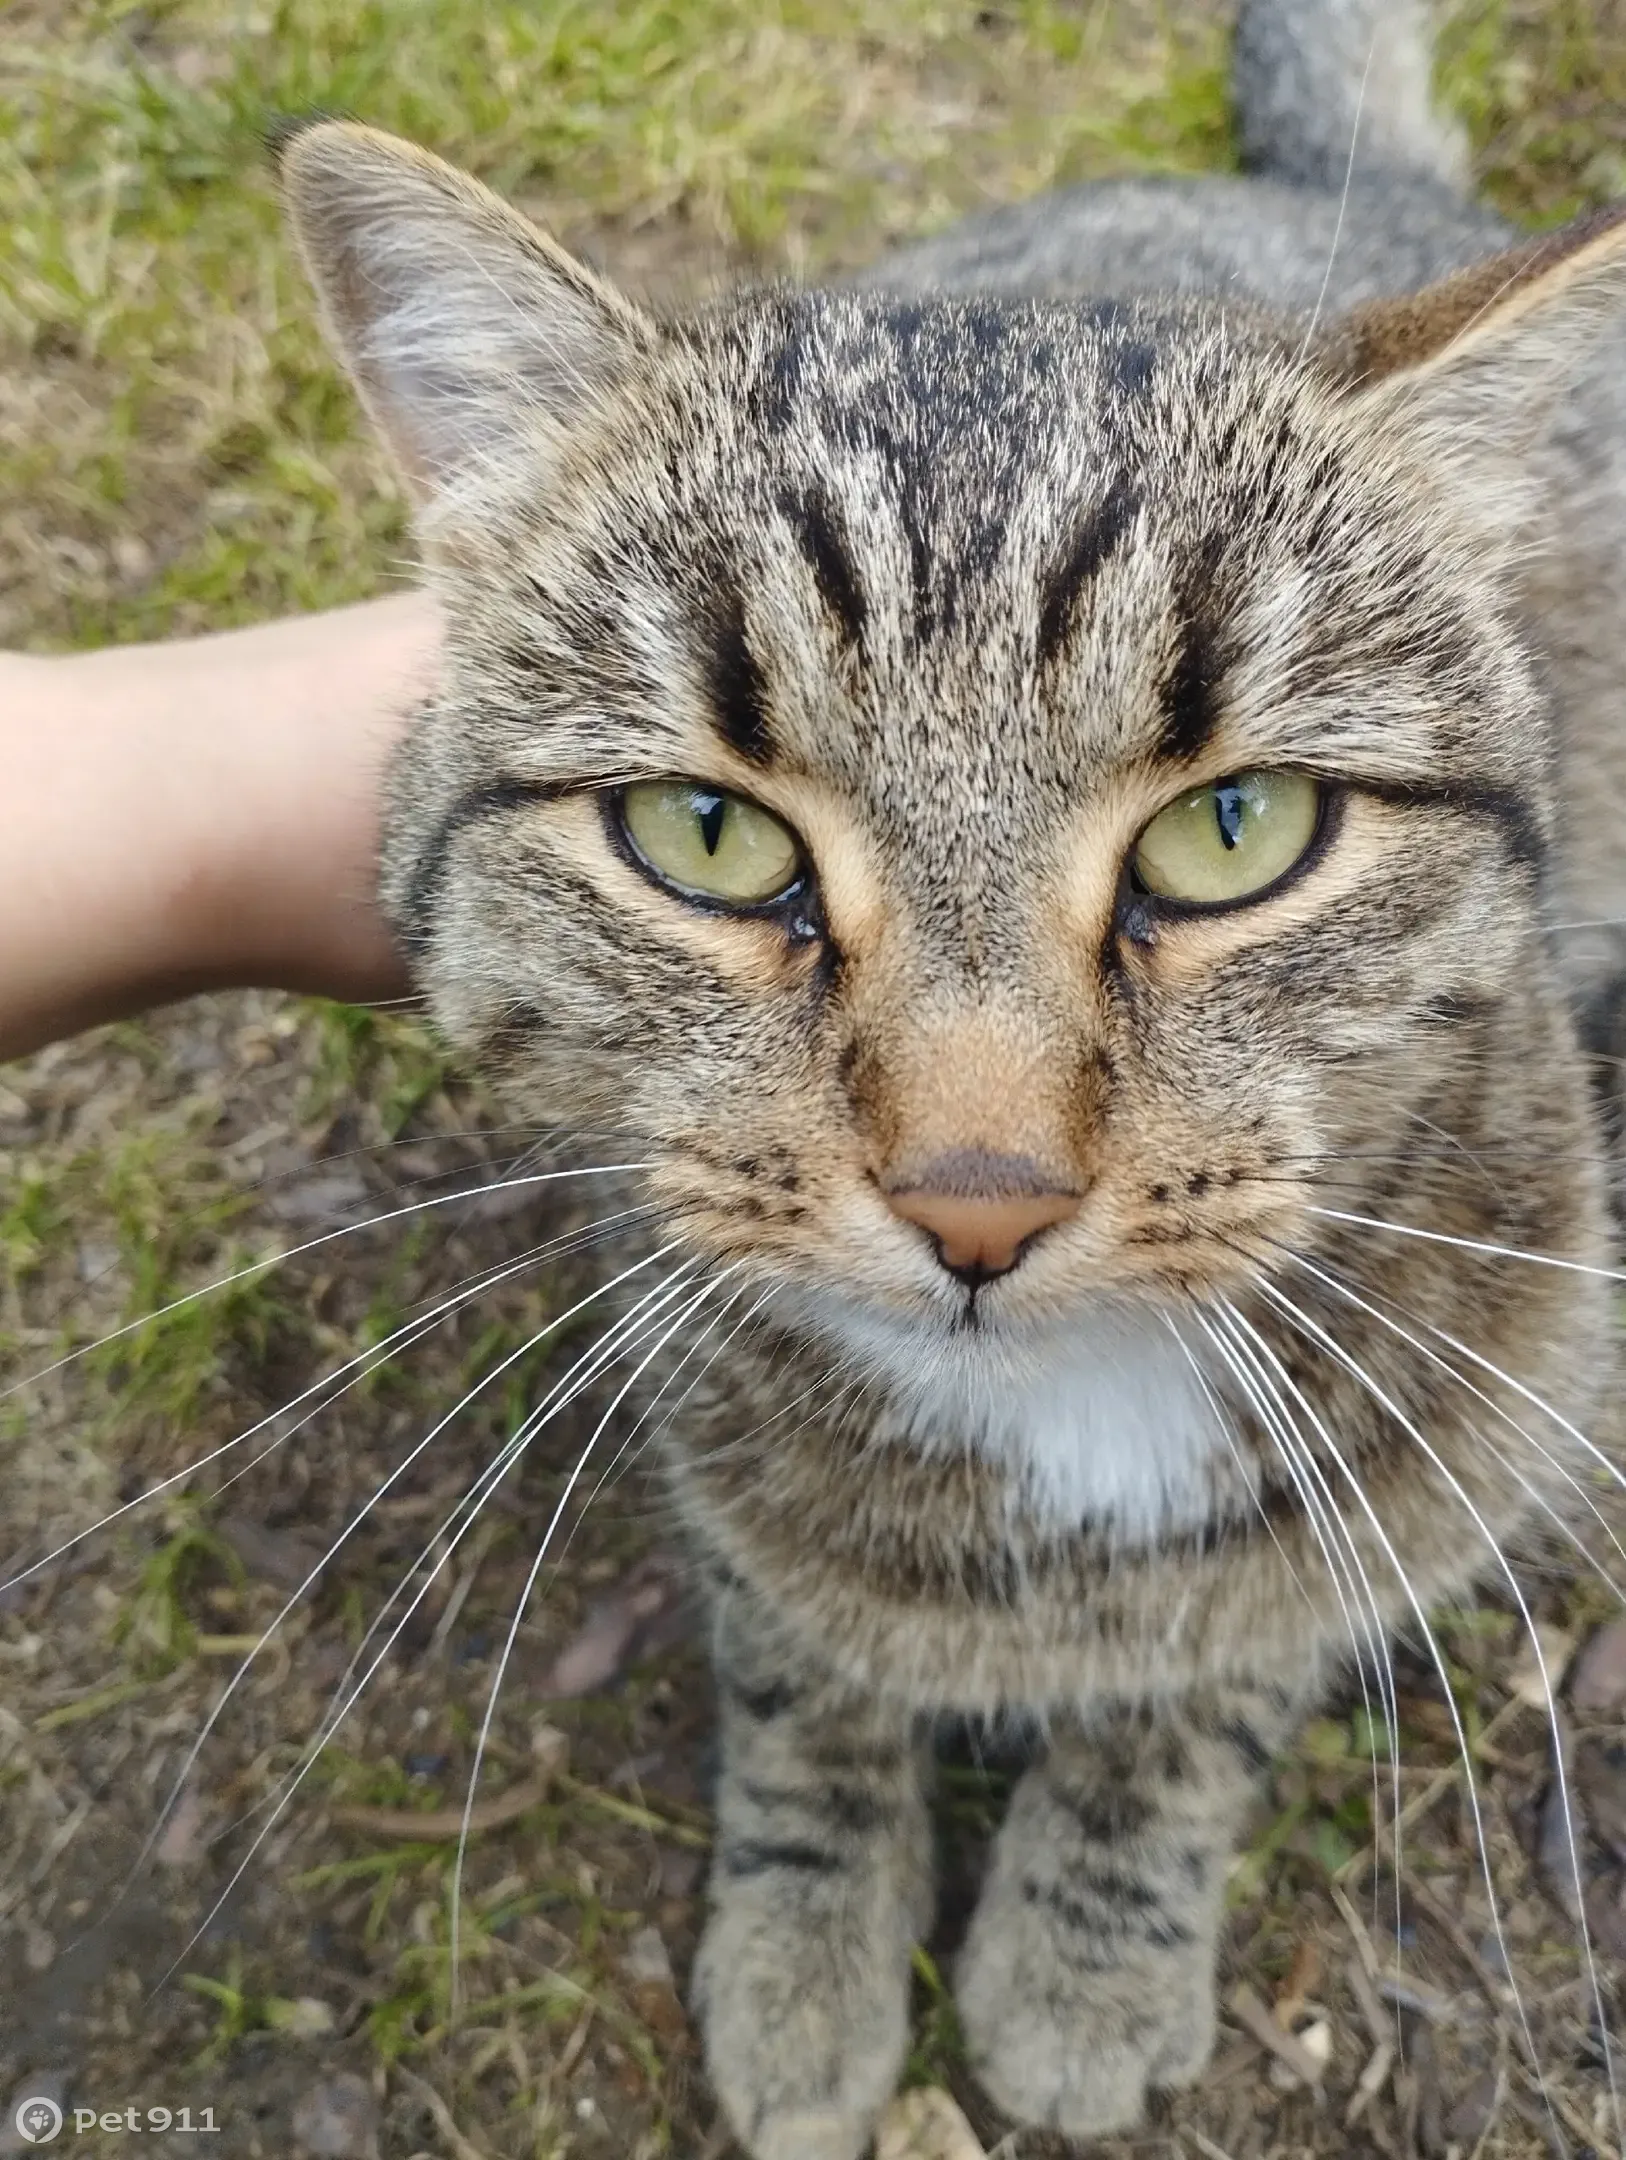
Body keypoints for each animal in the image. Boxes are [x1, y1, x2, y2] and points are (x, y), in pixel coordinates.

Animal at [278, 0, 1623, 2151]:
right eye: (707, 836)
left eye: (1234, 830)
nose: (974, 1197)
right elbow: (801, 1673)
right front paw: (808, 1940)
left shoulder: (1461, 1443)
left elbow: (1207, 1689)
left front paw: (1089, 1945)